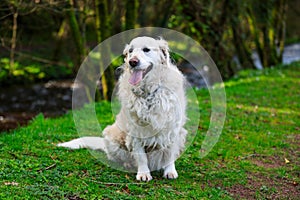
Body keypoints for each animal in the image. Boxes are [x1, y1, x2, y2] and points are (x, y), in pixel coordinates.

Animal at [57, 36, 186, 181]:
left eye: (146, 49)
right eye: (130, 51)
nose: (132, 62)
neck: (148, 91)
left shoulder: (173, 127)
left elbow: (169, 154)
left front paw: (170, 171)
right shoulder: (134, 130)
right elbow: (141, 156)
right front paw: (143, 173)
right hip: (113, 137)